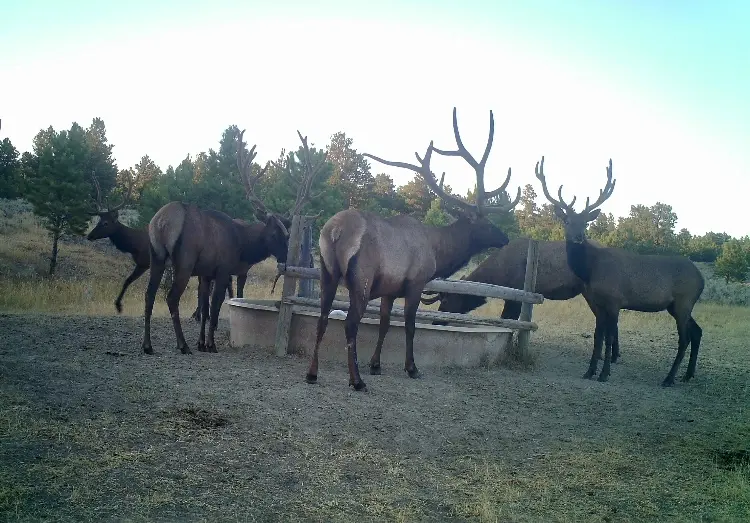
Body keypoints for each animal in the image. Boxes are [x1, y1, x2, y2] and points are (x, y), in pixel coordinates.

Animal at [140, 131, 293, 355]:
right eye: (275, 233)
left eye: (288, 233)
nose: (286, 256)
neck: (242, 244)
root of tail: (161, 222)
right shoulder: (223, 270)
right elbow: (215, 308)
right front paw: (210, 344)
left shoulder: (205, 274)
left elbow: (204, 309)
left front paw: (201, 343)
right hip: (184, 261)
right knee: (171, 297)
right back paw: (182, 345)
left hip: (156, 257)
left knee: (149, 295)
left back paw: (147, 345)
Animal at [304, 107, 521, 391]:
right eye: (485, 222)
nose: (505, 238)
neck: (438, 252)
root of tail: (335, 231)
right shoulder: (416, 282)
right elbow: (409, 325)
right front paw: (411, 367)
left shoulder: (389, 290)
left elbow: (385, 324)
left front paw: (376, 365)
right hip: (361, 279)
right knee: (350, 323)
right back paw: (356, 380)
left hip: (327, 273)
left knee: (322, 318)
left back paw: (312, 373)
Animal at [421, 238, 621, 361]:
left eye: (446, 301)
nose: (436, 321)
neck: (499, 273)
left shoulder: (516, 297)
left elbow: (508, 322)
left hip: (592, 292)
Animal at [534, 156, 704, 386]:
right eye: (567, 221)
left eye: (586, 223)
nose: (578, 237)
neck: (591, 270)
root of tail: (702, 279)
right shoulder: (598, 302)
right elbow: (598, 336)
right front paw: (589, 371)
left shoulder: (614, 300)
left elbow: (609, 337)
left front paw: (604, 374)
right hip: (677, 305)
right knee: (697, 331)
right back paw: (687, 374)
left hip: (683, 301)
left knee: (684, 338)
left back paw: (669, 378)